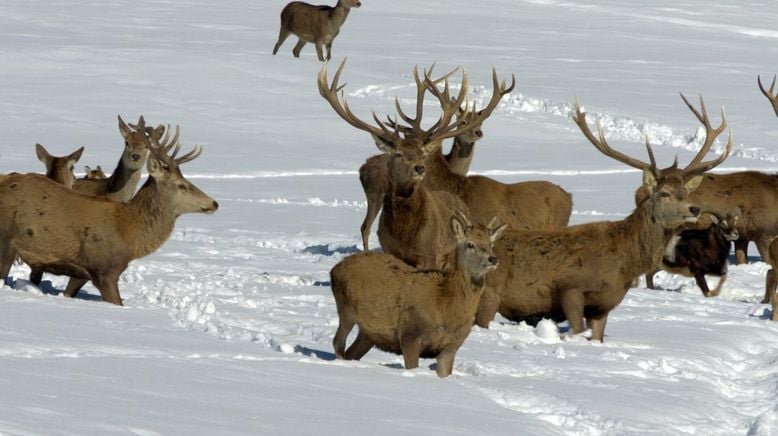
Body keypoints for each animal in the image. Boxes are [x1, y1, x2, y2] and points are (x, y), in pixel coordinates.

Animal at [0, 117, 218, 304]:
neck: (128, 234)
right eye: (182, 185)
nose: (214, 203)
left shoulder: (83, 272)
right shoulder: (105, 269)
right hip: (6, 239)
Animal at [328, 213, 504, 376]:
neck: (444, 307)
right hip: (345, 309)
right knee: (338, 343)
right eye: (470, 244)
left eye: (492, 244)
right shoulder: (410, 335)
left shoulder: (451, 346)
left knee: (352, 352)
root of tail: (334, 269)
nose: (493, 259)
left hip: (368, 333)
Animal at [472, 95, 732, 340]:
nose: (695, 209)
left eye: (685, 191)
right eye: (664, 193)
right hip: (489, 294)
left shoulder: (603, 305)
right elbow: (576, 328)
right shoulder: (571, 287)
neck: (624, 263)